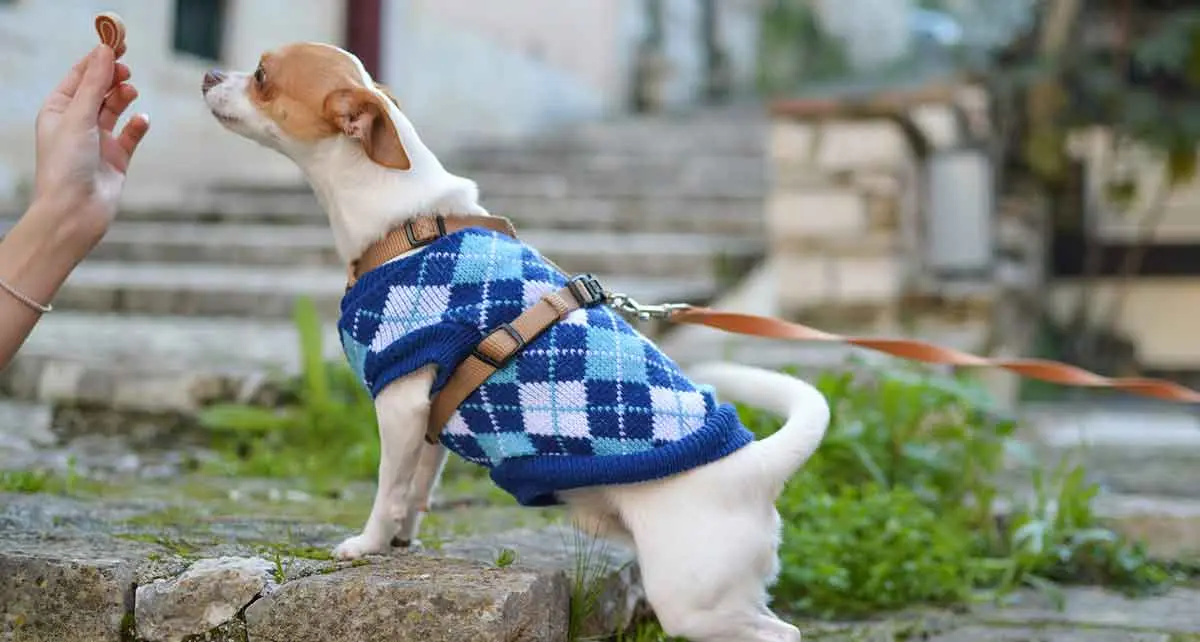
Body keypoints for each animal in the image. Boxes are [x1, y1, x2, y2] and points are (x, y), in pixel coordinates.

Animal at [201, 42, 830, 638]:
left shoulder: (399, 402)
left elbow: (387, 489)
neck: (408, 224)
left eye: (262, 75)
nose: (208, 74)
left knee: (783, 632)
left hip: (691, 600)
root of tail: (757, 466)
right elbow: (416, 489)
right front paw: (403, 539)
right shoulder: (430, 418)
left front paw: (367, 544)